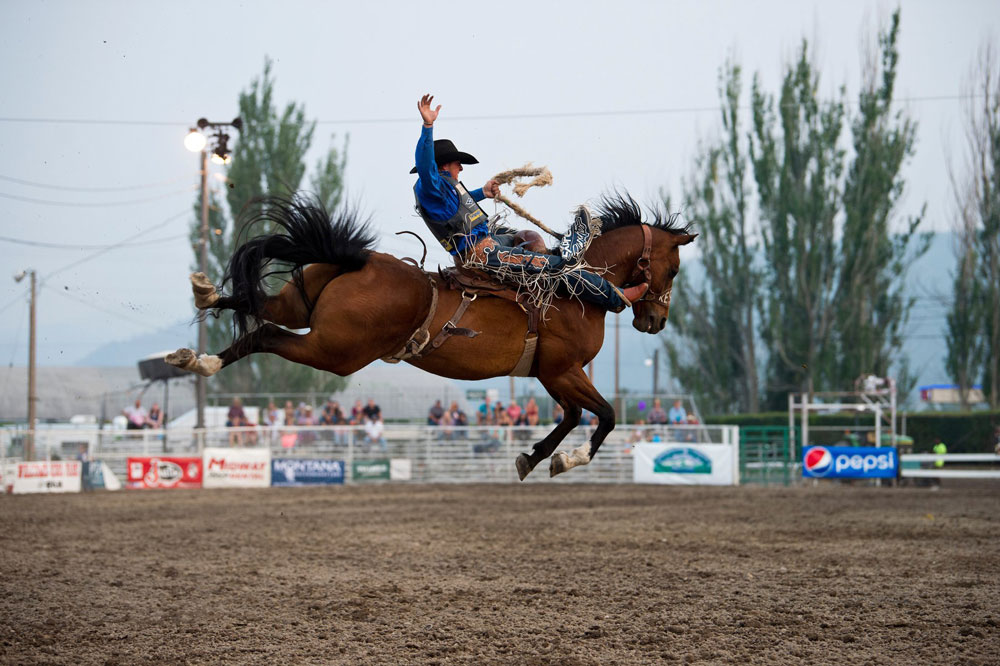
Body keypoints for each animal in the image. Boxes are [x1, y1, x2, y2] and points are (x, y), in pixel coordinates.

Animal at [166, 193, 696, 478]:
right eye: (673, 268)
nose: (655, 321)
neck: (576, 284)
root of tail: (359, 261)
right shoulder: (563, 370)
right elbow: (604, 415)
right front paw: (568, 460)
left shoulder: (551, 375)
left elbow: (571, 416)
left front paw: (535, 457)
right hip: (334, 350)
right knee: (266, 335)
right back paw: (204, 357)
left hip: (303, 304)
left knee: (258, 307)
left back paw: (200, 319)